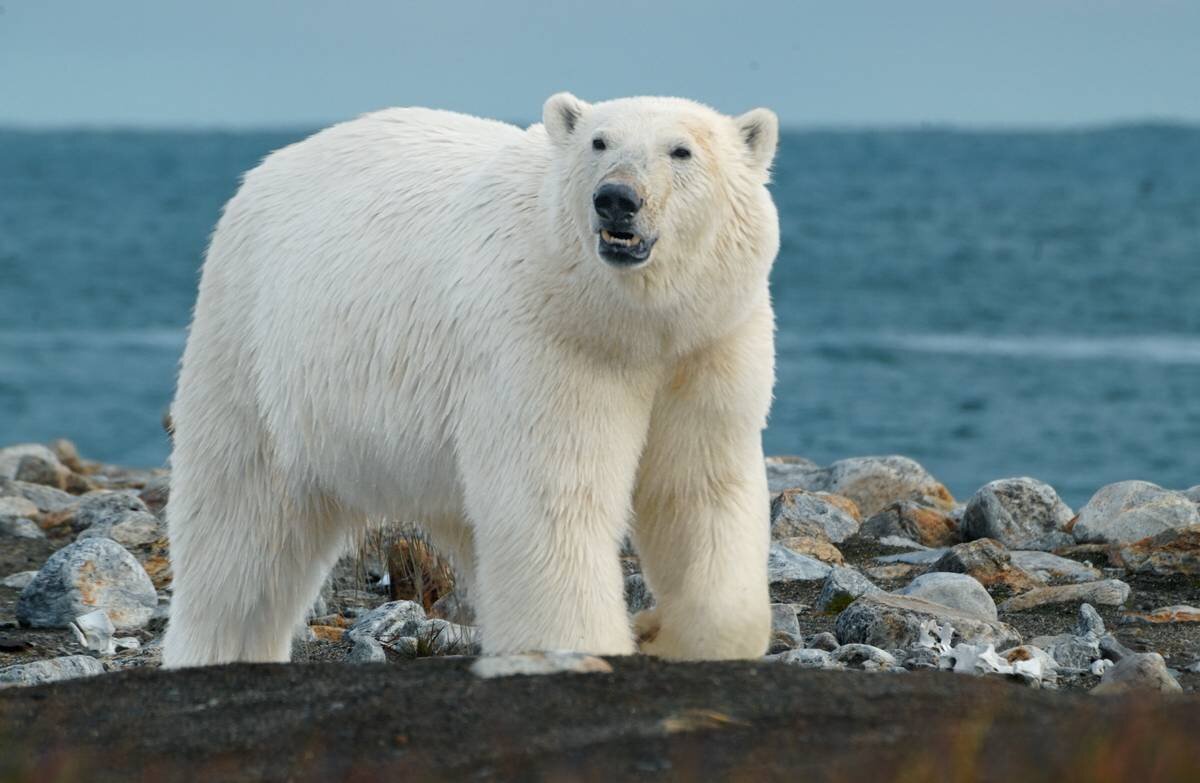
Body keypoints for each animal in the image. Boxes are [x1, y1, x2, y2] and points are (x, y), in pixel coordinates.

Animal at [162, 91, 777, 667]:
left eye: (682, 151)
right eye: (599, 142)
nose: (616, 199)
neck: (629, 324)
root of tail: (264, 170)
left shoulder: (708, 342)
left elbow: (698, 487)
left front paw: (679, 636)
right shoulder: (547, 340)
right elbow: (553, 499)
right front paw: (583, 650)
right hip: (252, 345)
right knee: (240, 518)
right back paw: (214, 650)